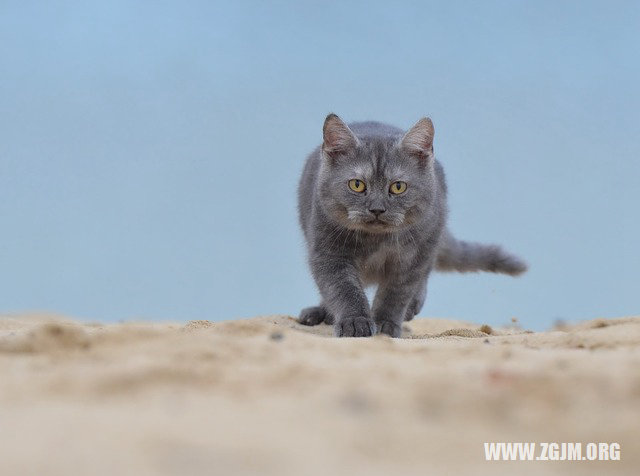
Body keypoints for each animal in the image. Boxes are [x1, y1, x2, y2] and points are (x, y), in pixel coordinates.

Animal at [298, 114, 528, 338]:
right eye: (357, 185)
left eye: (398, 187)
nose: (377, 209)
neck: (376, 241)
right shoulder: (328, 252)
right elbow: (343, 289)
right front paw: (355, 322)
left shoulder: (413, 257)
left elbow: (396, 292)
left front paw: (385, 324)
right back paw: (320, 313)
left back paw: (412, 306)